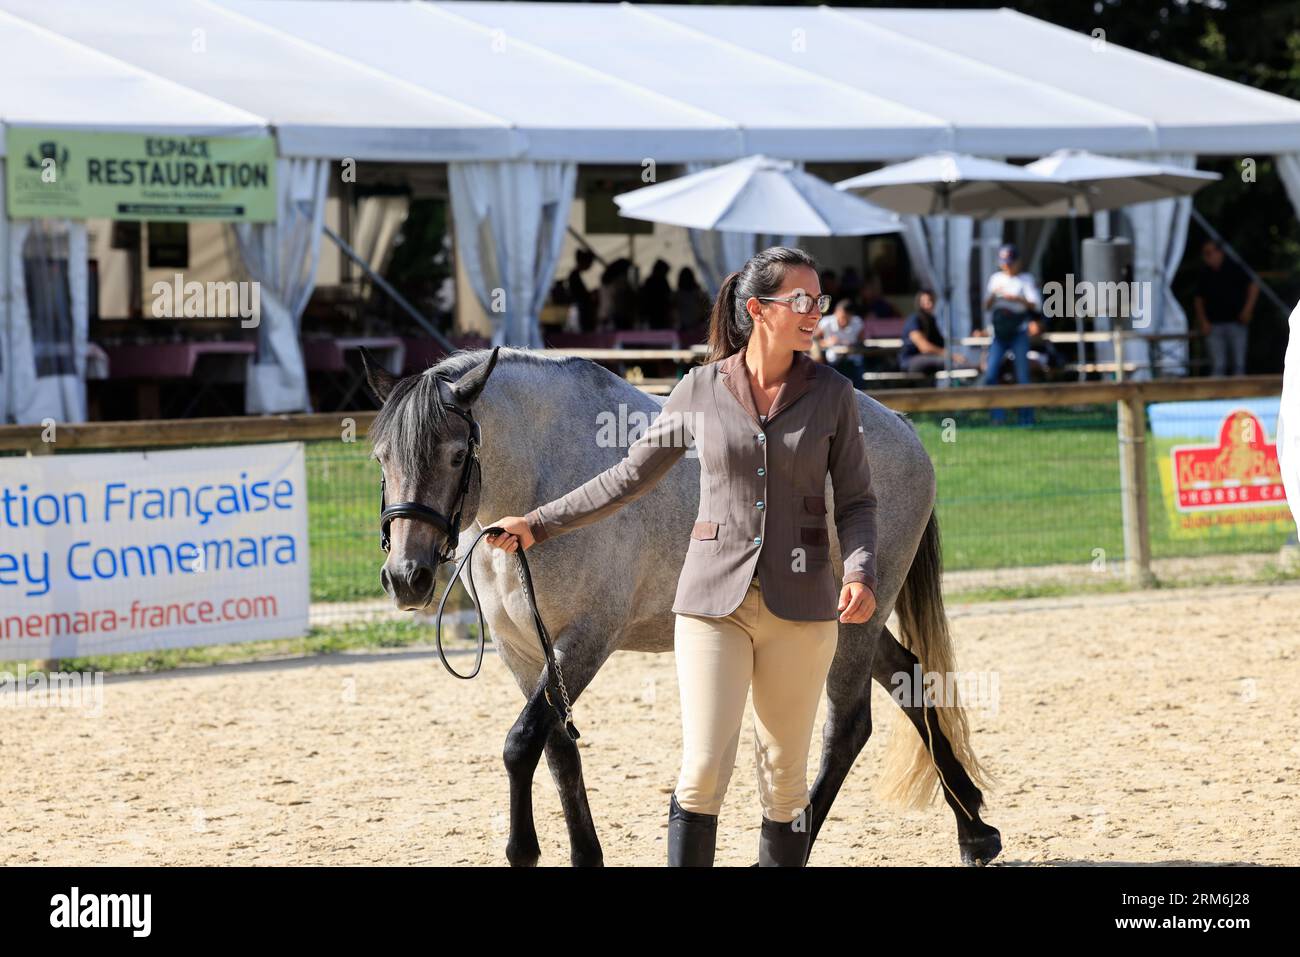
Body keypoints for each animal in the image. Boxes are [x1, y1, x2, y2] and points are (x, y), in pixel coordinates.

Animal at [361, 345, 998, 868]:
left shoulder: (586, 639)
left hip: (860, 612)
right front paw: (585, 856)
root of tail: (900, 428)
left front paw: (524, 852)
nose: (408, 577)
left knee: (847, 728)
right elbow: (558, 751)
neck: (546, 481)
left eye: (454, 455)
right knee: (909, 680)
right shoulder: (523, 651)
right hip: (843, 617)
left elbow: (522, 745)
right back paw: (974, 830)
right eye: (381, 457)